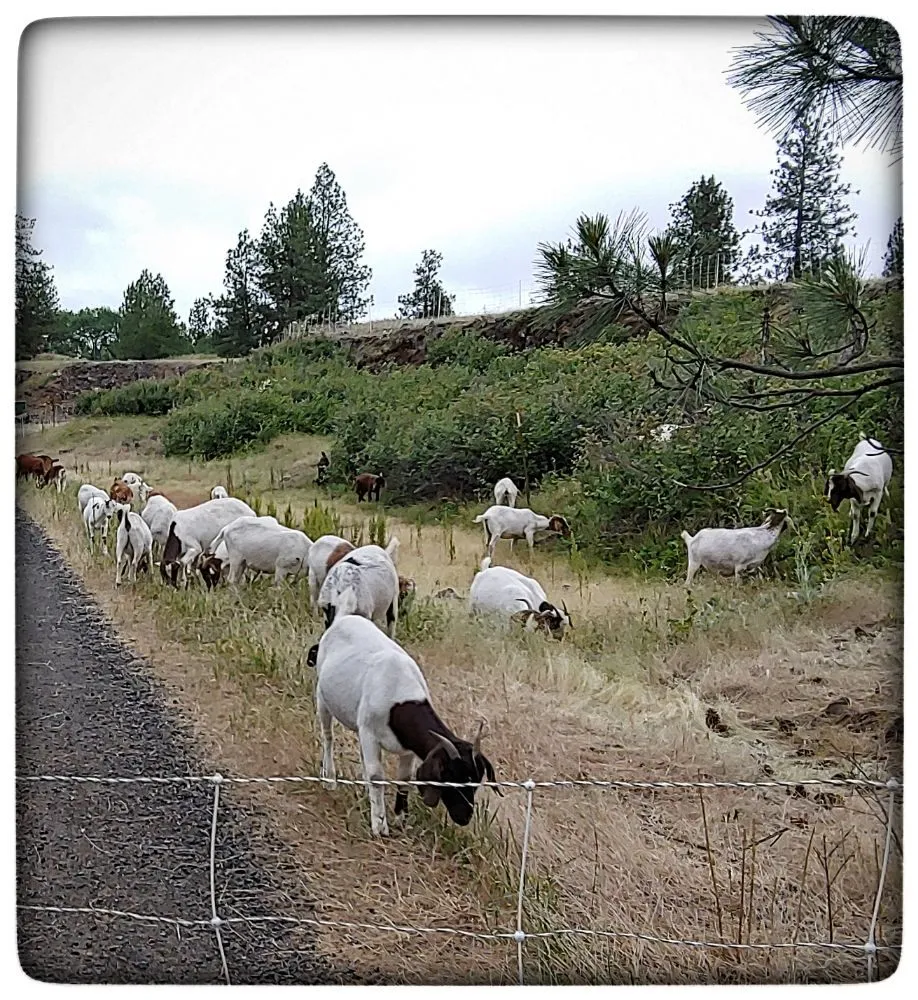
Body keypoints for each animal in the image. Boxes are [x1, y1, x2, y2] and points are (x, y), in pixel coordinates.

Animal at [309, 614, 498, 837]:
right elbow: (376, 775)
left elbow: (404, 778)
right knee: (328, 737)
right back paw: (329, 779)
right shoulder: (370, 733)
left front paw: (401, 818)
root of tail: (345, 618)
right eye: (449, 776)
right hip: (323, 699)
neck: (400, 697)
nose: (464, 817)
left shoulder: (407, 748)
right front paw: (379, 825)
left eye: (476, 782)